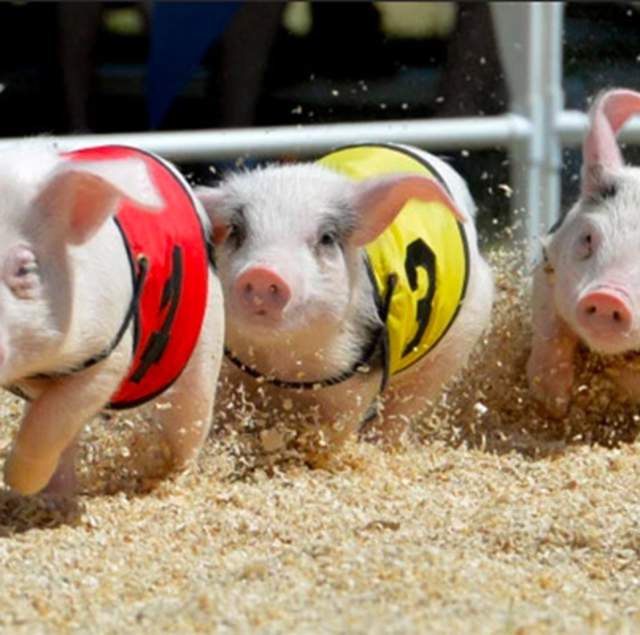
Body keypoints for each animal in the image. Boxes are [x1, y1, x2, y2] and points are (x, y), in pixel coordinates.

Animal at [0, 141, 224, 496]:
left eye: (25, 268)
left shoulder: (109, 351)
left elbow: (51, 418)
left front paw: (18, 483)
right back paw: (57, 496)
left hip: (204, 345)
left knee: (190, 421)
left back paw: (172, 477)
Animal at [196, 143, 493, 455]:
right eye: (236, 231)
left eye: (327, 237)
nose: (263, 272)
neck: (281, 364)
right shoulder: (228, 373)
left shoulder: (354, 385)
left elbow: (332, 435)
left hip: (452, 348)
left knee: (403, 409)